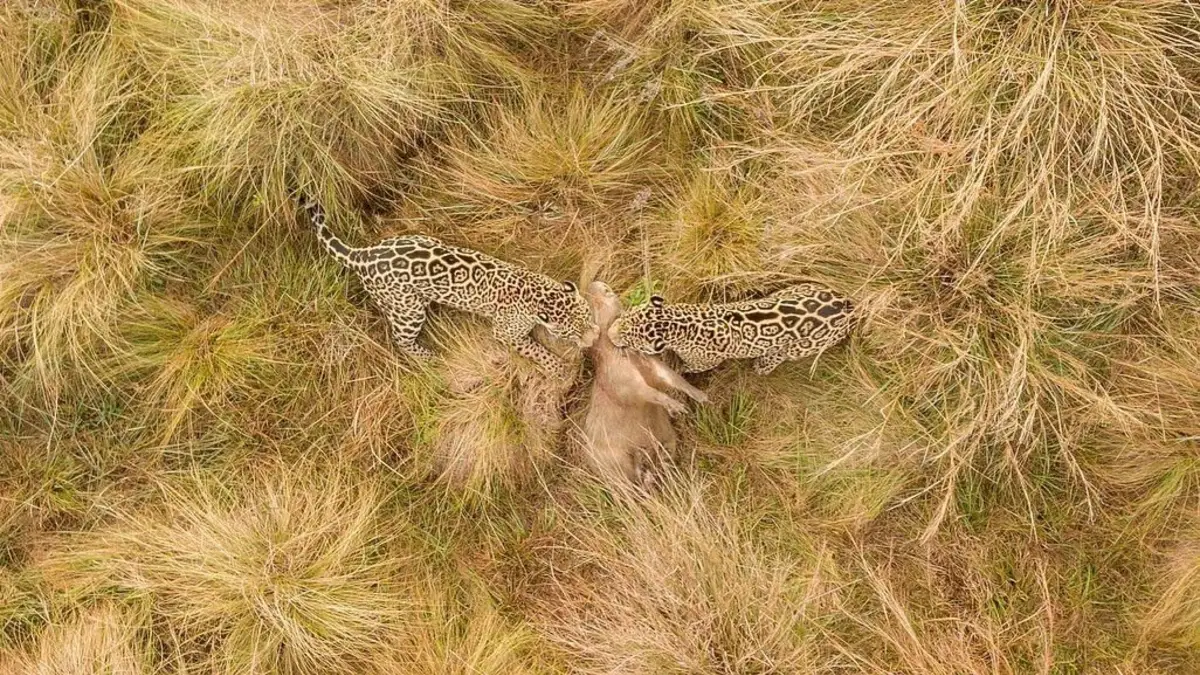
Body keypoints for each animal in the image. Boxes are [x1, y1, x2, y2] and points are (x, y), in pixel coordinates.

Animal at [298, 195, 598, 376]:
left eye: (588, 316)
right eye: (572, 332)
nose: (594, 339)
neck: (538, 292)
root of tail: (362, 254)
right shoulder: (505, 333)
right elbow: (536, 350)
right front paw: (558, 367)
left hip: (420, 241)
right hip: (409, 311)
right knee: (401, 340)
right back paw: (431, 357)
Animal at [608, 283, 855, 375]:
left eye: (629, 338)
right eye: (627, 315)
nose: (610, 333)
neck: (677, 321)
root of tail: (849, 305)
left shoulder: (705, 363)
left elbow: (688, 368)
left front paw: (677, 370)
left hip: (798, 349)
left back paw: (763, 365)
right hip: (796, 288)